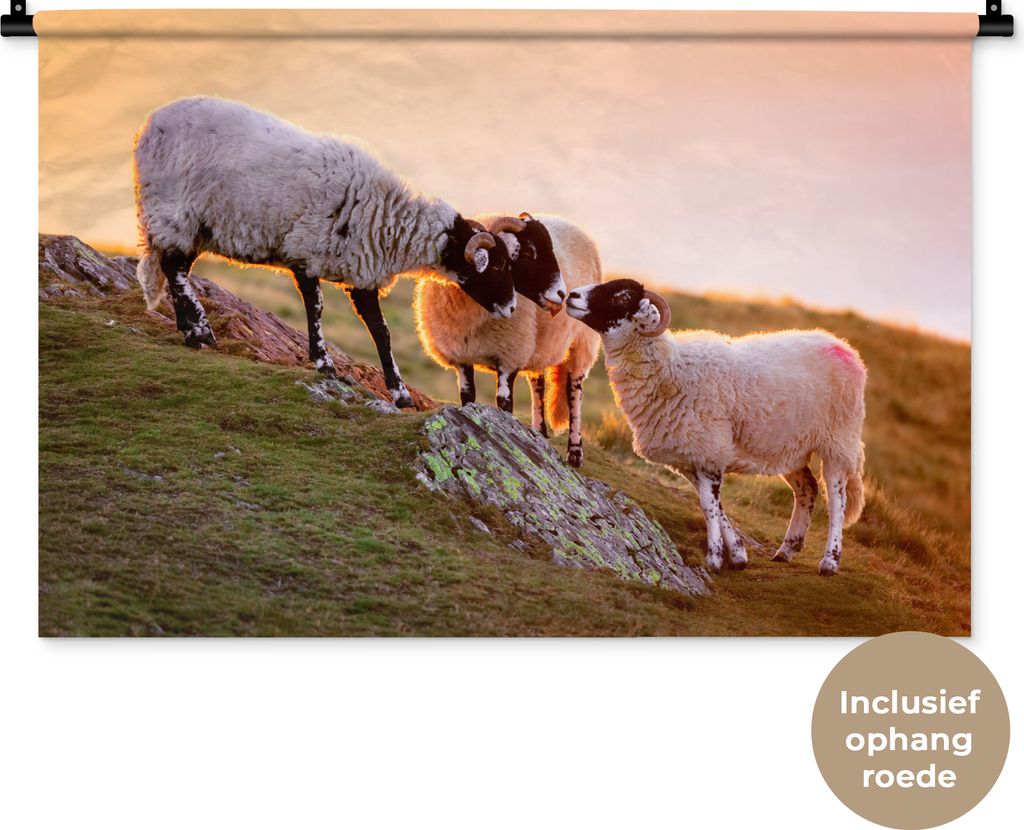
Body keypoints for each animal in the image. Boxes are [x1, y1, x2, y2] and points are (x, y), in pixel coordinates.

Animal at [132, 96, 516, 408]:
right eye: (496, 268)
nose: (512, 308)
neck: (388, 218)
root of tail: (150, 125)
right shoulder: (306, 253)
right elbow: (316, 309)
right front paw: (324, 364)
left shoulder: (362, 273)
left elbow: (381, 331)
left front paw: (400, 394)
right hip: (174, 213)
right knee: (173, 269)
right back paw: (200, 332)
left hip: (196, 227)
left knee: (175, 269)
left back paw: (188, 329)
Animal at [414, 213, 602, 467]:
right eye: (529, 252)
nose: (562, 294)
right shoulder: (462, 356)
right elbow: (468, 396)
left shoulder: (510, 356)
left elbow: (504, 402)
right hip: (538, 345)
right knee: (538, 385)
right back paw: (539, 432)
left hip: (582, 342)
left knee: (574, 392)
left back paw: (574, 453)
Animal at [566, 278, 866, 576]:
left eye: (623, 297)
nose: (571, 295)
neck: (671, 369)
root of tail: (846, 348)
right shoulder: (691, 458)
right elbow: (711, 505)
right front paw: (737, 554)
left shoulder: (709, 451)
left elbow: (709, 507)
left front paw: (714, 557)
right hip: (789, 447)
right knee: (807, 489)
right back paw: (787, 550)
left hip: (839, 439)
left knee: (837, 499)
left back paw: (830, 561)